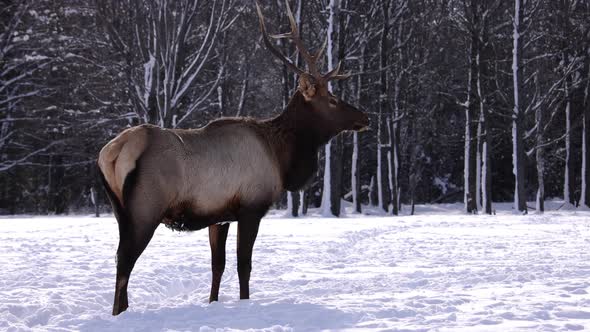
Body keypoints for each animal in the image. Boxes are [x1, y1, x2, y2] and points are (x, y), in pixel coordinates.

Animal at [99, 0, 368, 316]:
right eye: (333, 100)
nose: (365, 117)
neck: (281, 156)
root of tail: (113, 152)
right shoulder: (251, 207)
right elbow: (244, 266)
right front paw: (245, 302)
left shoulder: (220, 216)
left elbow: (218, 266)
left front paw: (213, 301)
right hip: (146, 208)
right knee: (124, 262)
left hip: (120, 210)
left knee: (121, 258)